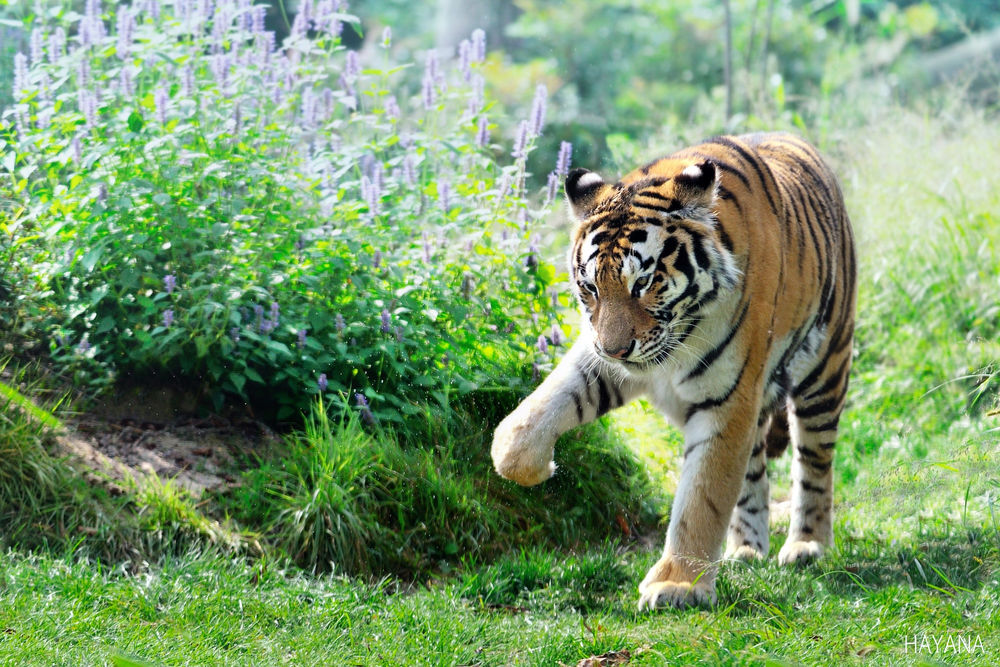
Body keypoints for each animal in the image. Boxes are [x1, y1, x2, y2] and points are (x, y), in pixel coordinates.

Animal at [491, 132, 857, 610]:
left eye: (643, 284)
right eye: (589, 287)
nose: (615, 348)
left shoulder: (728, 399)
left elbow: (702, 498)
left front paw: (678, 584)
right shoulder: (604, 361)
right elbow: (539, 409)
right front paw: (532, 468)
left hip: (825, 369)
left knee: (814, 463)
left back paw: (807, 545)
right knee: (754, 472)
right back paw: (745, 550)